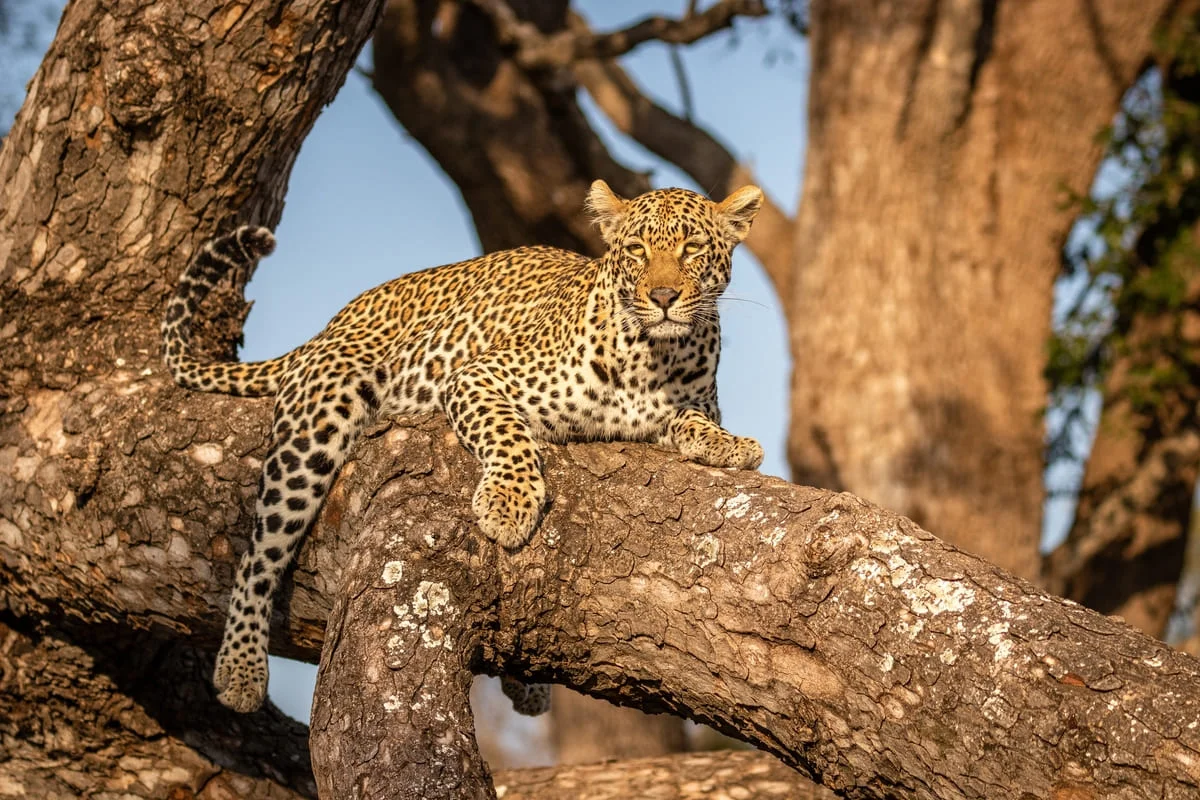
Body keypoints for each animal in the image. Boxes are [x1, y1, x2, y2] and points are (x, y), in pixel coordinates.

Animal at [162, 183, 758, 719]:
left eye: (692, 249)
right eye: (636, 249)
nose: (663, 298)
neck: (655, 357)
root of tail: (333, 324)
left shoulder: (692, 402)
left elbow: (692, 419)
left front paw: (731, 445)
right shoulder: (478, 375)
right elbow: (509, 434)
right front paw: (509, 504)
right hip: (318, 424)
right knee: (258, 553)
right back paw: (240, 669)